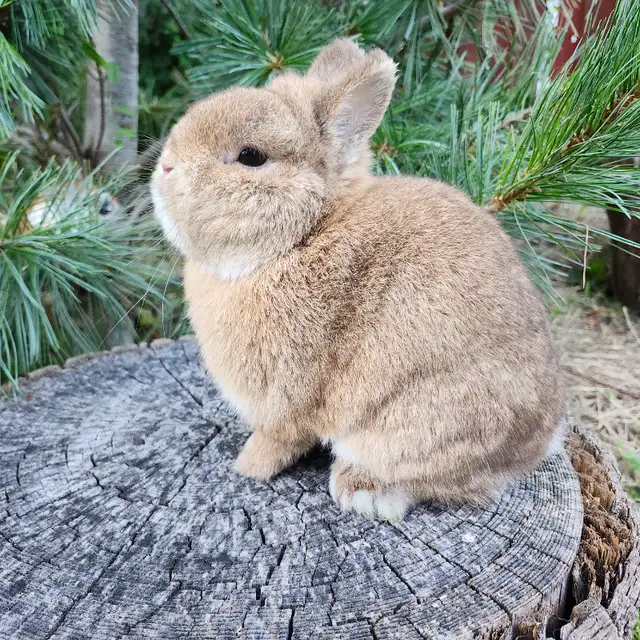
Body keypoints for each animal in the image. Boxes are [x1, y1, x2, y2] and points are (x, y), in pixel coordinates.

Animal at [150, 38, 565, 521]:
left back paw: (359, 489)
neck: (304, 234)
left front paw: (247, 467)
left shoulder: (285, 400)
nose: (165, 169)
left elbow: (279, 439)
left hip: (412, 427)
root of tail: (540, 443)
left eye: (251, 156)